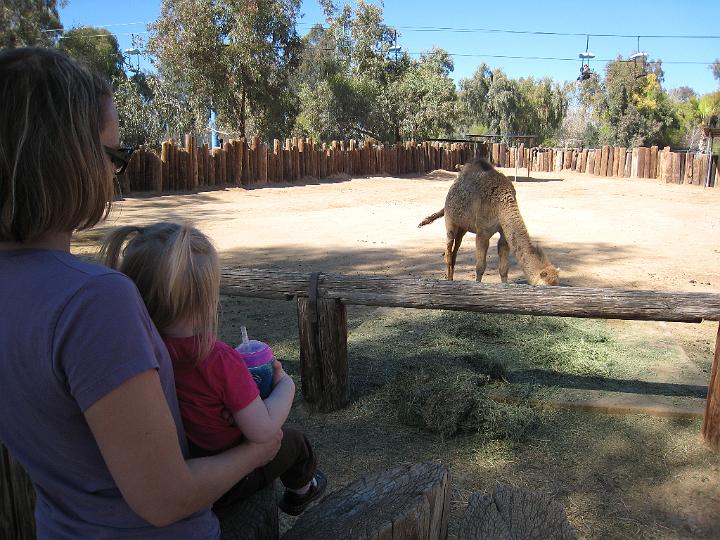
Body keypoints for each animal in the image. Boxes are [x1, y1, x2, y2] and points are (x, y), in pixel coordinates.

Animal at [420, 157, 560, 286]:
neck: (502, 202)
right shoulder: (482, 232)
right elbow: (480, 266)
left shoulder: (504, 234)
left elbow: (504, 268)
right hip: (450, 220)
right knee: (448, 251)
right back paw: (448, 280)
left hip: (463, 227)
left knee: (455, 250)